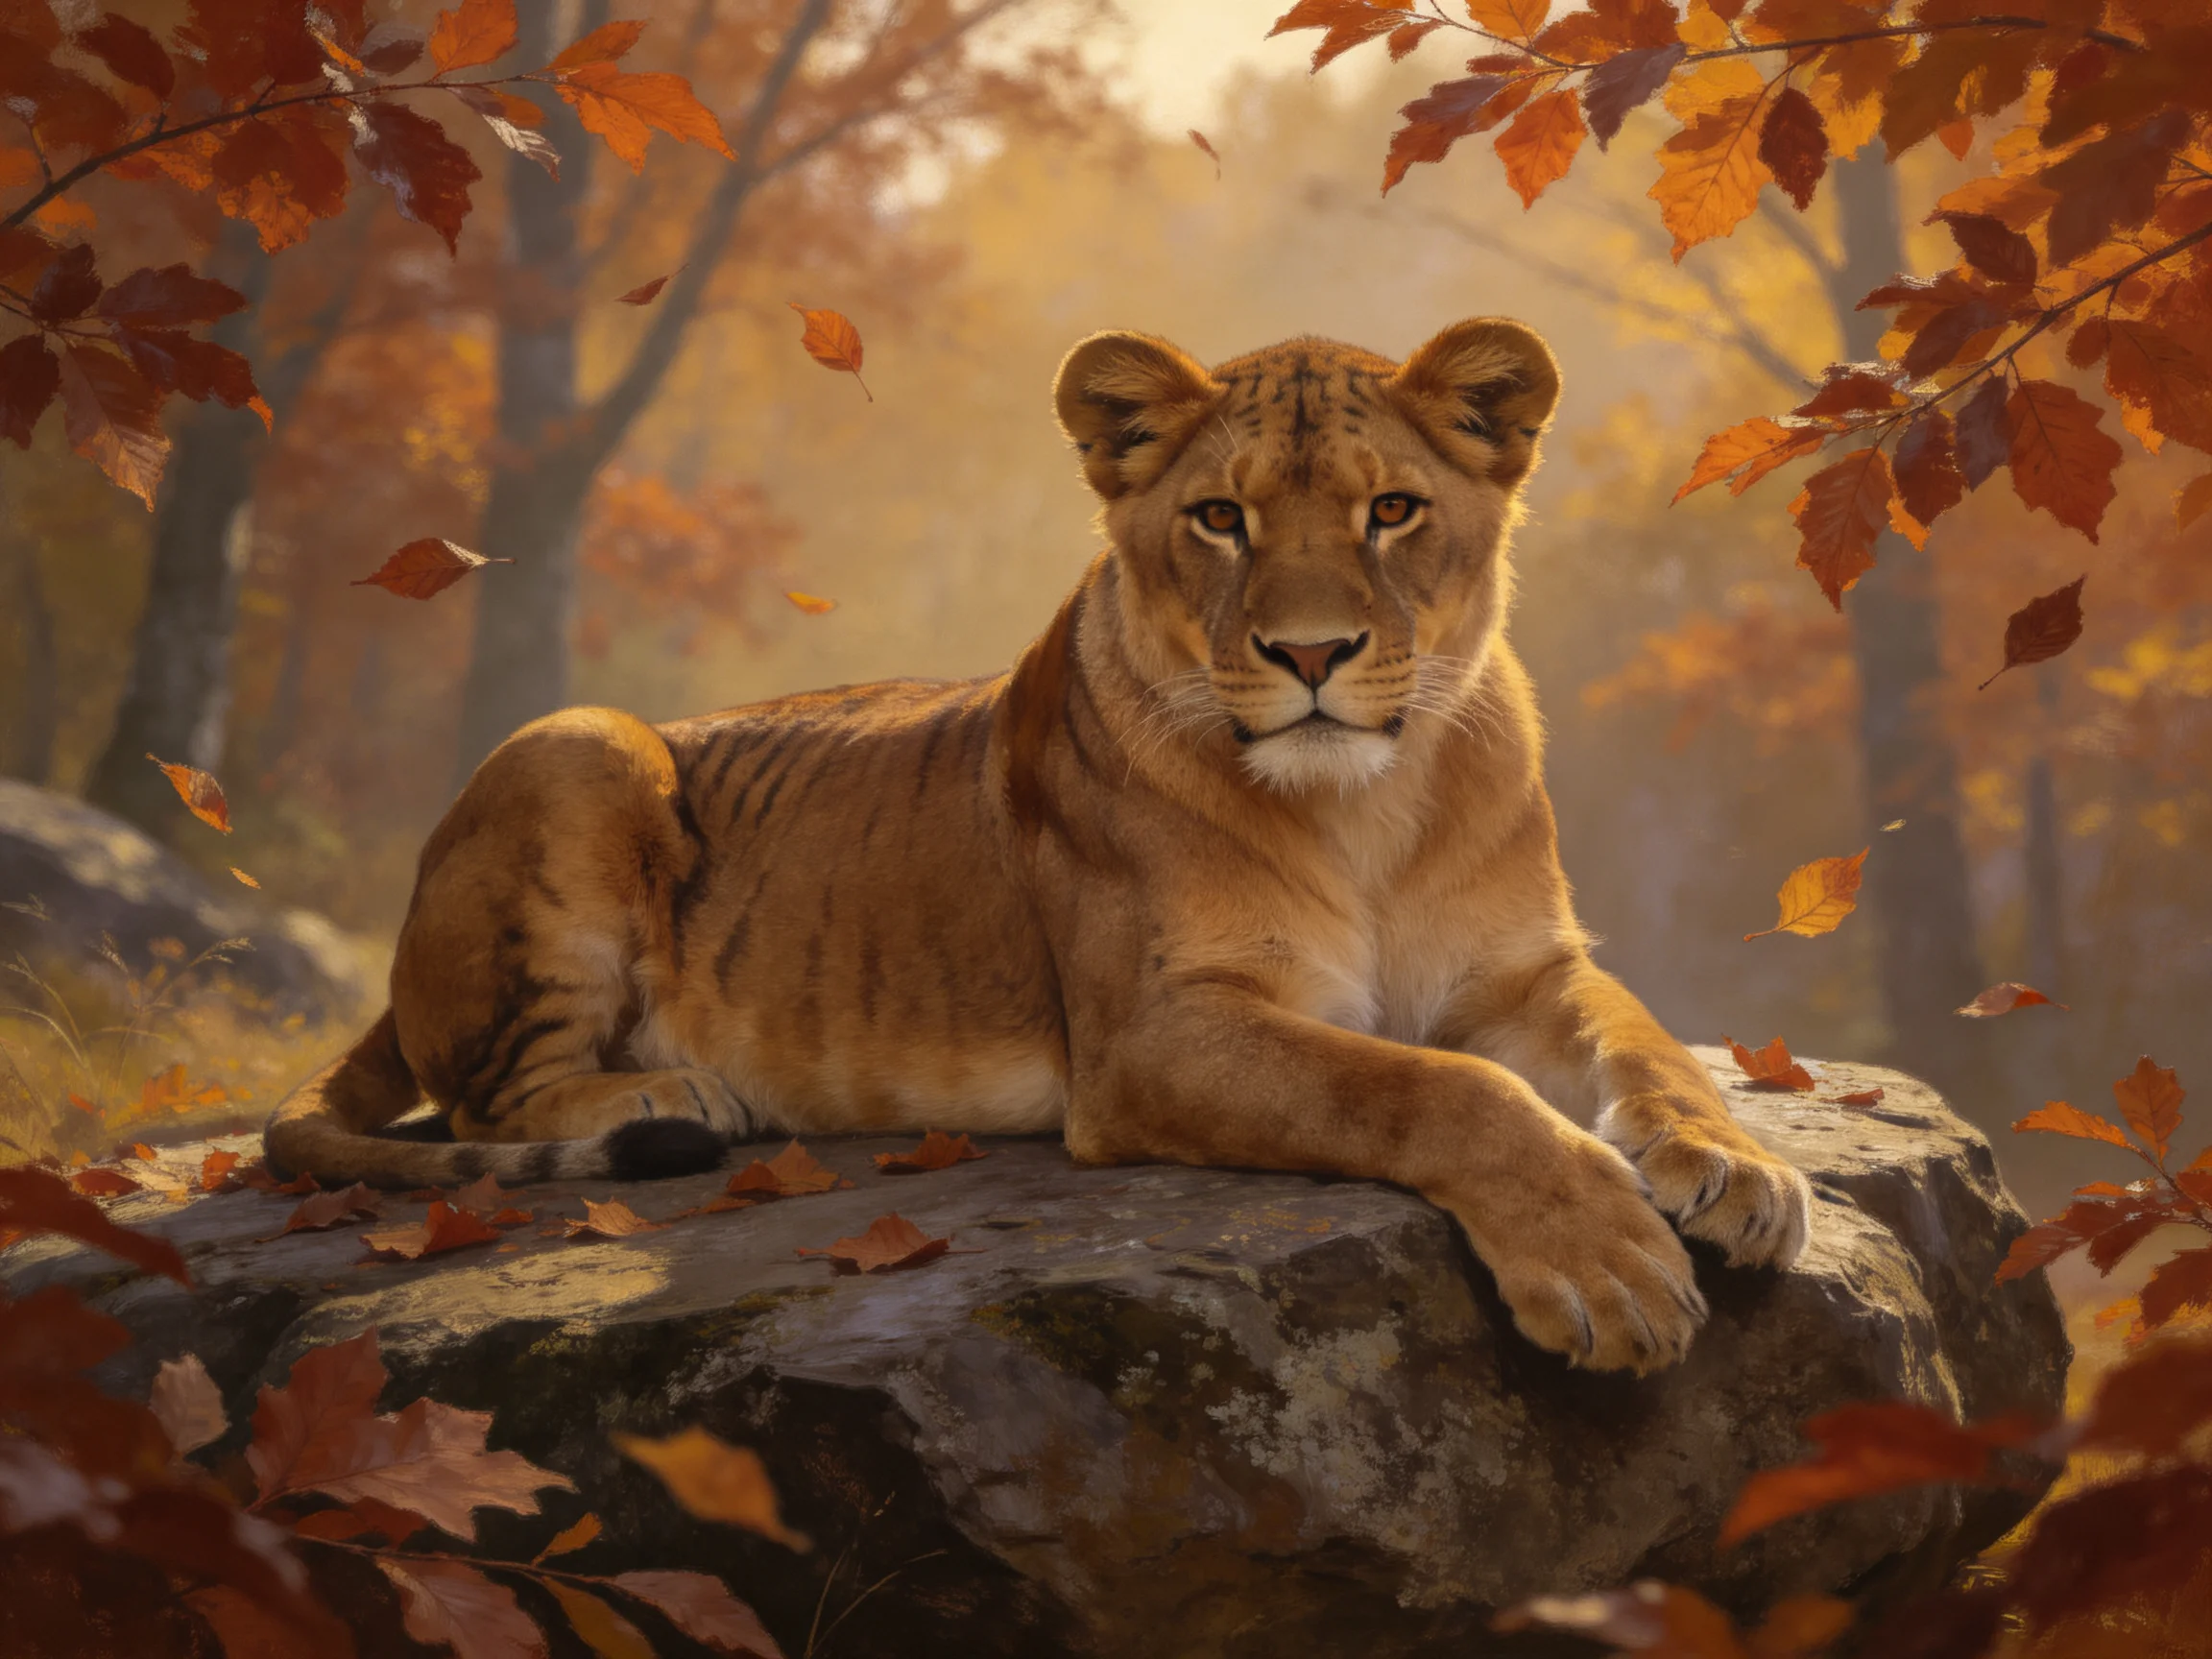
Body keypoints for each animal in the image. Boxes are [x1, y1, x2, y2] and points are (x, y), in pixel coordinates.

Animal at [267, 317, 1812, 1373]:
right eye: (1220, 518)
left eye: (1392, 510)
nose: (1312, 654)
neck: (1369, 805)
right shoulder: (1150, 1039)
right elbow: (1434, 1091)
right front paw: (1607, 1265)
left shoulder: (1522, 971)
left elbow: (1649, 1046)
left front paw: (1737, 1171)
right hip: (581, 738)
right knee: (489, 1107)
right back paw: (669, 1097)